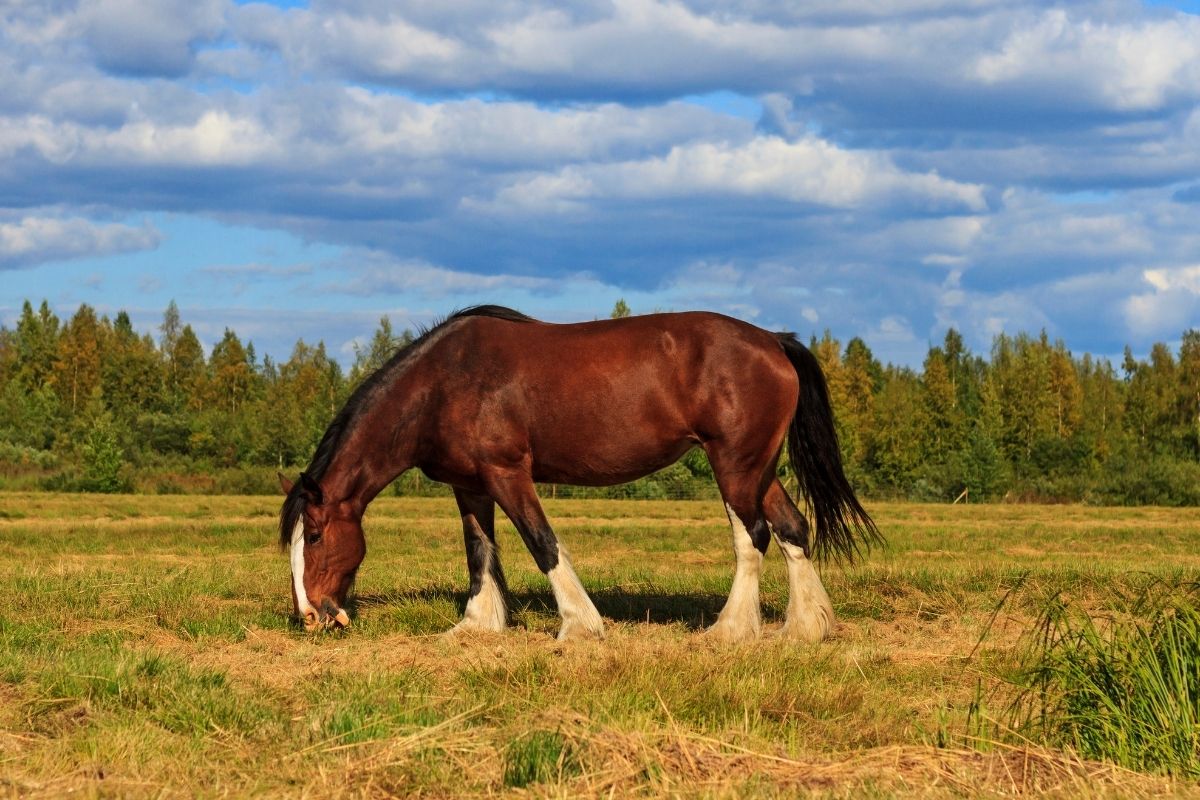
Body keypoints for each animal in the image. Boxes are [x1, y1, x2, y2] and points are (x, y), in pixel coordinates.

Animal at [280, 307, 883, 642]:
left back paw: (731, 630)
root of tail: (773, 340)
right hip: (760, 467)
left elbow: (542, 543)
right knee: (792, 529)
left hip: (733, 465)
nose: (311, 615)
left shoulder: (508, 474)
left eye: (316, 535)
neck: (443, 382)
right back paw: (805, 629)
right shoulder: (469, 485)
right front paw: (477, 623)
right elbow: (480, 552)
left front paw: (579, 626)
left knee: (753, 535)